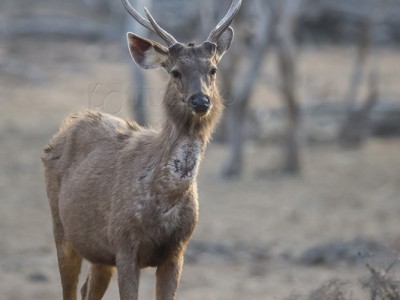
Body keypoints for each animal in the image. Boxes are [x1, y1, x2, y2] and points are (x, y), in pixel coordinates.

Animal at [41, 0, 241, 298]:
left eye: (213, 70)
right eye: (175, 71)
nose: (201, 101)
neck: (165, 203)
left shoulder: (177, 251)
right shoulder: (124, 243)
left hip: (100, 252)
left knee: (88, 288)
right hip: (63, 231)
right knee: (70, 289)